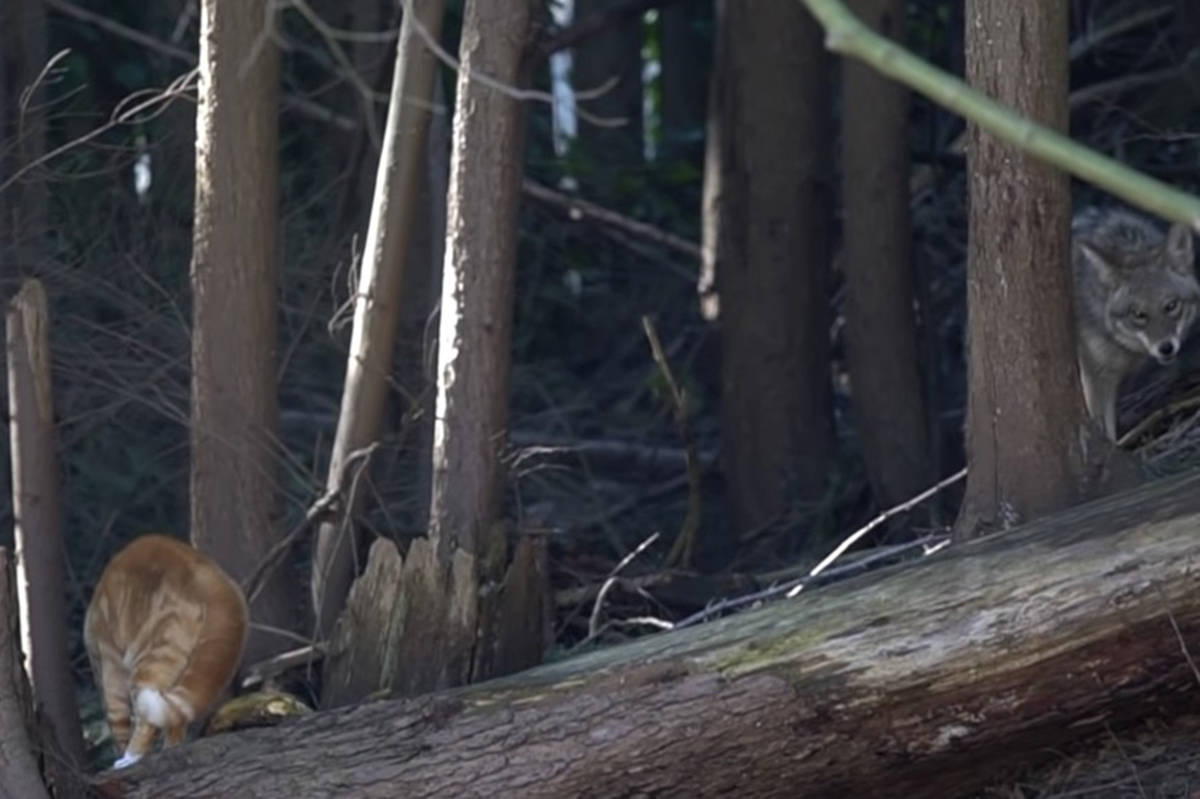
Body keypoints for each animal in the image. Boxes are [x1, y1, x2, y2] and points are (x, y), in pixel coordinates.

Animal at [84, 532, 248, 767]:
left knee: (146, 719)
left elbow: (118, 719)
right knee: (177, 717)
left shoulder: (111, 663)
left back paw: (130, 758)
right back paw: (171, 749)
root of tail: (215, 582)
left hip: (151, 656)